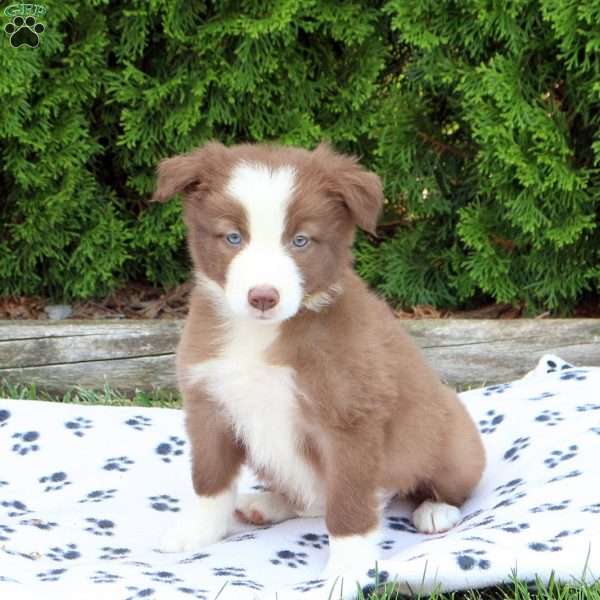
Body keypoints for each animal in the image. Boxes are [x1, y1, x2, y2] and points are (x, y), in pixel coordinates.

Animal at [152, 142, 486, 596]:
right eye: (233, 238)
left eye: (301, 241)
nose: (263, 297)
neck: (262, 336)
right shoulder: (209, 405)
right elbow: (209, 479)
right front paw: (197, 531)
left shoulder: (349, 423)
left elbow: (347, 505)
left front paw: (346, 571)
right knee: (309, 500)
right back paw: (267, 503)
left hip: (453, 442)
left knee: (448, 483)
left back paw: (436, 510)